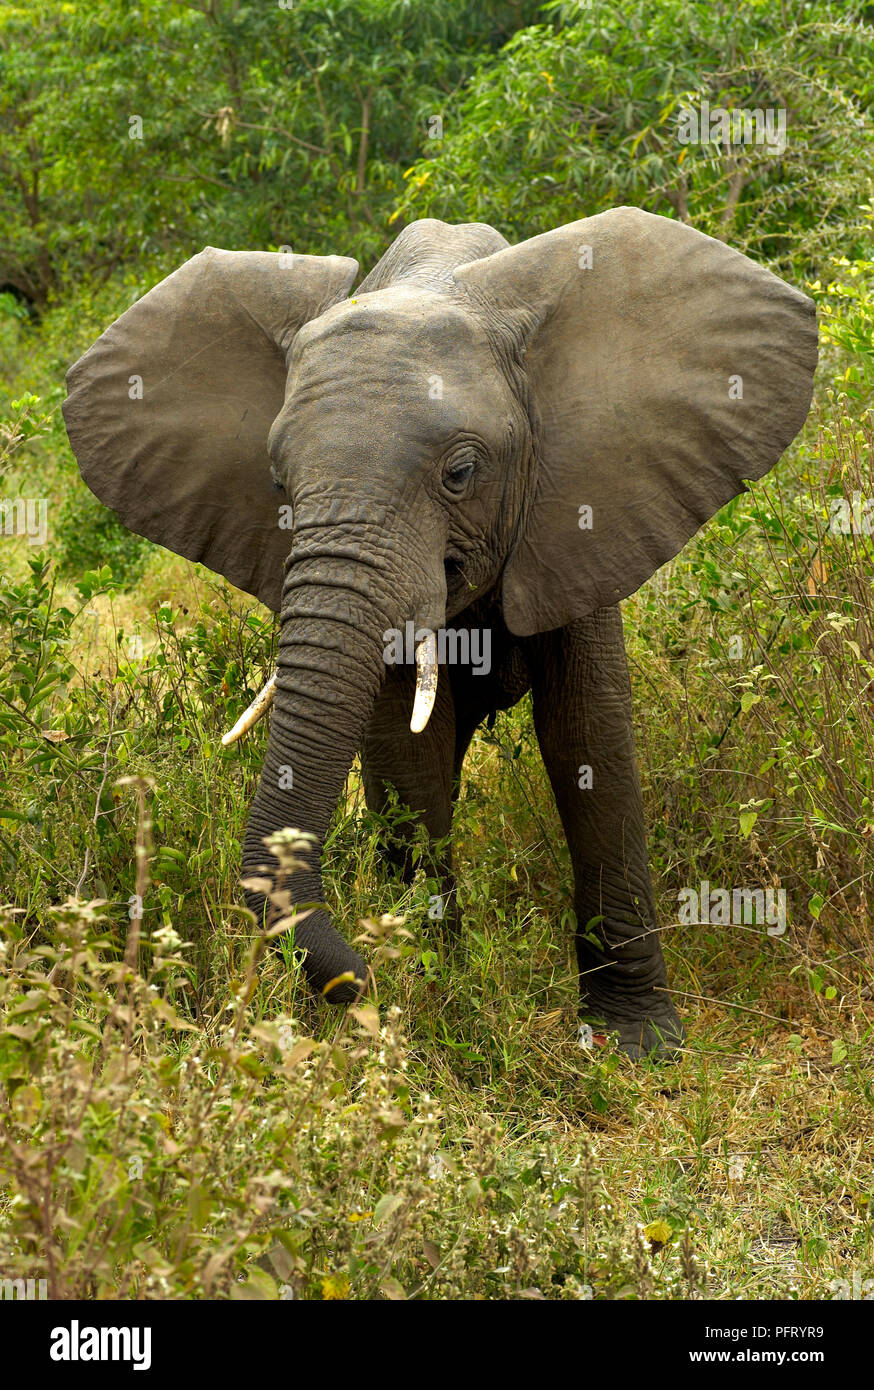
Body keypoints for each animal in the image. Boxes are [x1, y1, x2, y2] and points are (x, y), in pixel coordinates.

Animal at [63, 208, 817, 1050]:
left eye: (460, 473)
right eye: (278, 483)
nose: (360, 982)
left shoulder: (586, 509)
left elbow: (588, 734)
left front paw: (636, 1044)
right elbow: (410, 753)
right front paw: (436, 993)